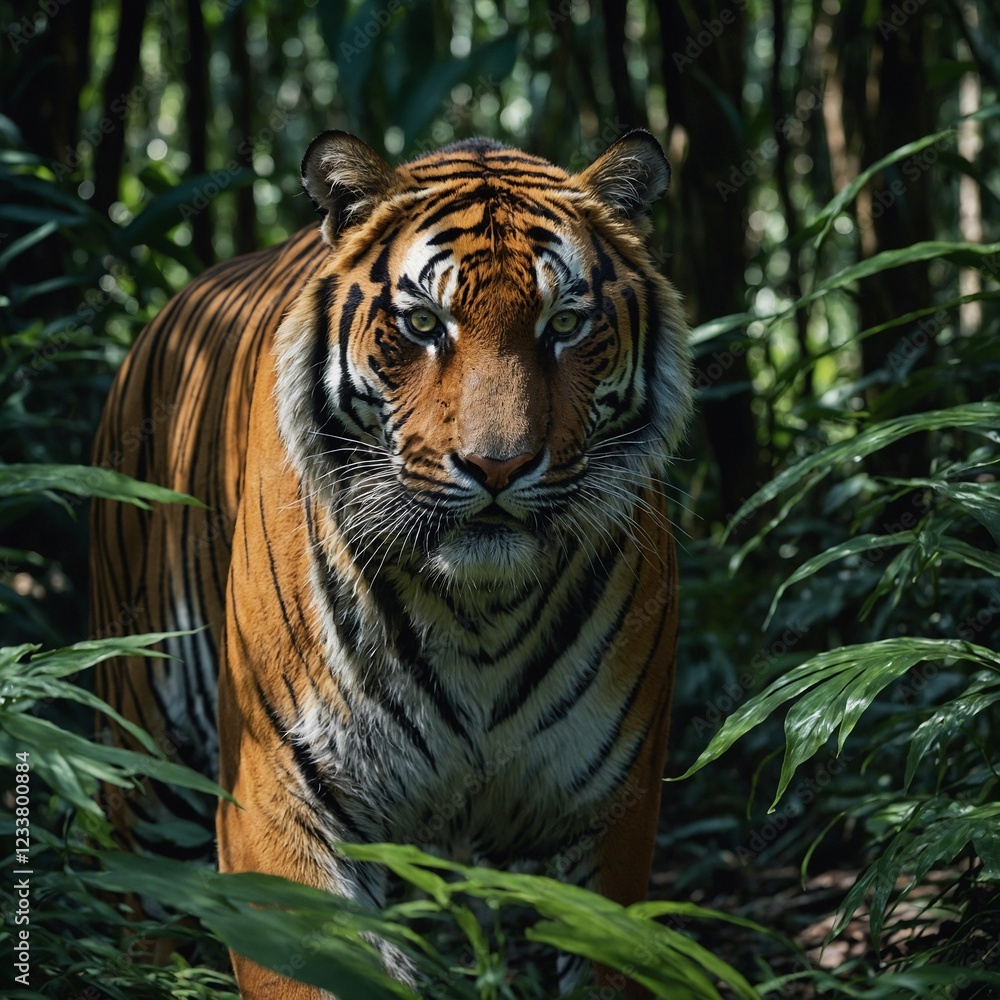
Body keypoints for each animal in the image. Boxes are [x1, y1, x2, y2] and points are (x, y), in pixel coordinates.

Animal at [89, 128, 693, 998]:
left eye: (567, 322)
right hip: (143, 757)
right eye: (423, 322)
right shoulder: (275, 798)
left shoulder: (612, 815)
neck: (479, 611)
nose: (499, 466)